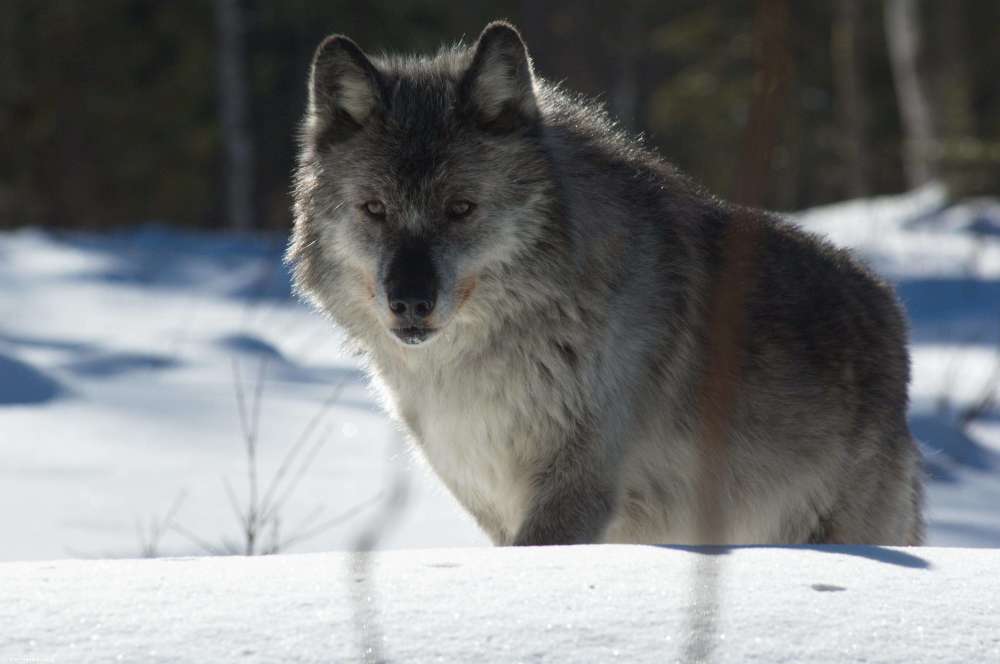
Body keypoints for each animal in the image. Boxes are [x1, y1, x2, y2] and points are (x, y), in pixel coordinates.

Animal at [286, 23, 924, 548]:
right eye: (375, 209)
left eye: (461, 208)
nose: (410, 302)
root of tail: (890, 309)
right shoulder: (492, 504)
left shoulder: (576, 491)